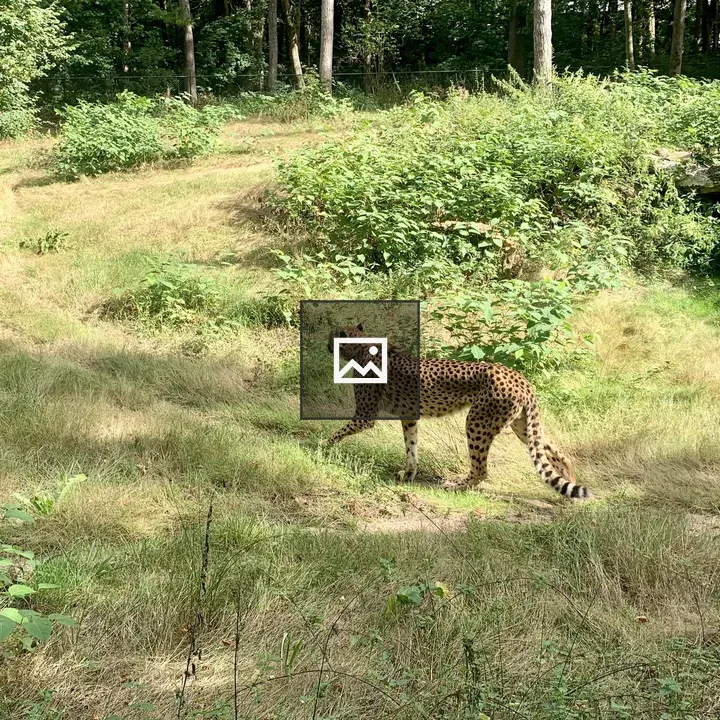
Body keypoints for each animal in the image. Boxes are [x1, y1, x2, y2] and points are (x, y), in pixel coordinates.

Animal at [325, 323, 591, 499]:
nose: (327, 346)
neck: (363, 347)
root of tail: (518, 375)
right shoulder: (409, 416)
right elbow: (411, 446)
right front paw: (409, 474)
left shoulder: (365, 415)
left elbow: (337, 432)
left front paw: (320, 447)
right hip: (521, 426)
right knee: (558, 455)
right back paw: (567, 489)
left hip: (477, 422)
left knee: (481, 470)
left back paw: (456, 486)